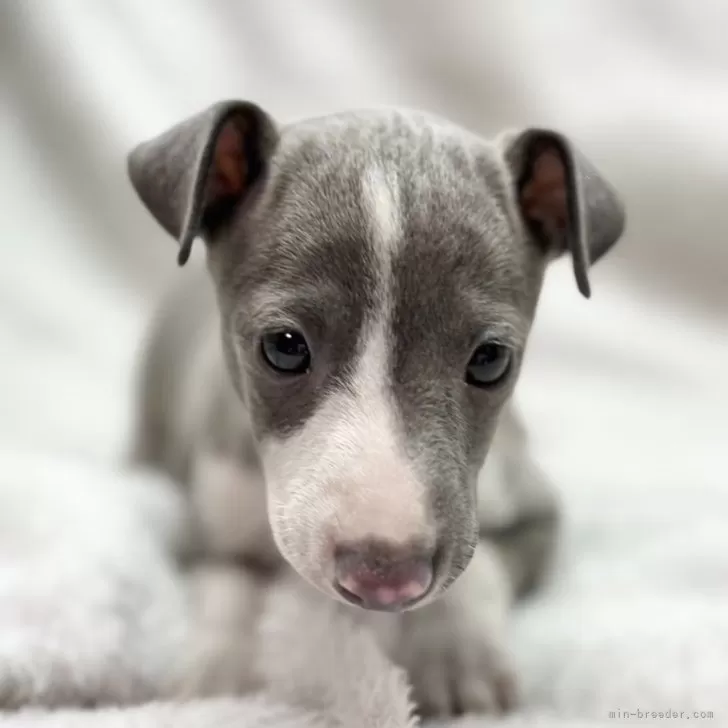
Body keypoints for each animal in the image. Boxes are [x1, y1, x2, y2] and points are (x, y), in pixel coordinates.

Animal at [126, 102, 624, 716]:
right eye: (283, 347)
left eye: (491, 360)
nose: (385, 576)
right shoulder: (204, 514)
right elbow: (228, 583)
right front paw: (219, 671)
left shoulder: (536, 515)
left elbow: (480, 567)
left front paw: (458, 652)